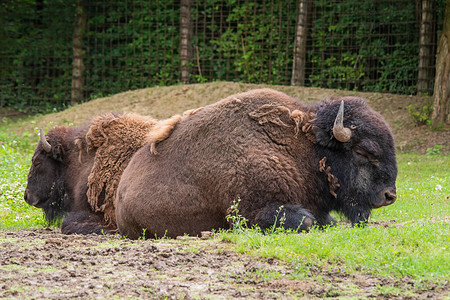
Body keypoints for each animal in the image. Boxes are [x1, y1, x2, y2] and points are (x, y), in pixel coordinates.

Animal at [24, 88, 398, 238]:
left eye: (40, 163)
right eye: (365, 152)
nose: (389, 195)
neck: (303, 148)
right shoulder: (257, 208)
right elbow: (306, 221)